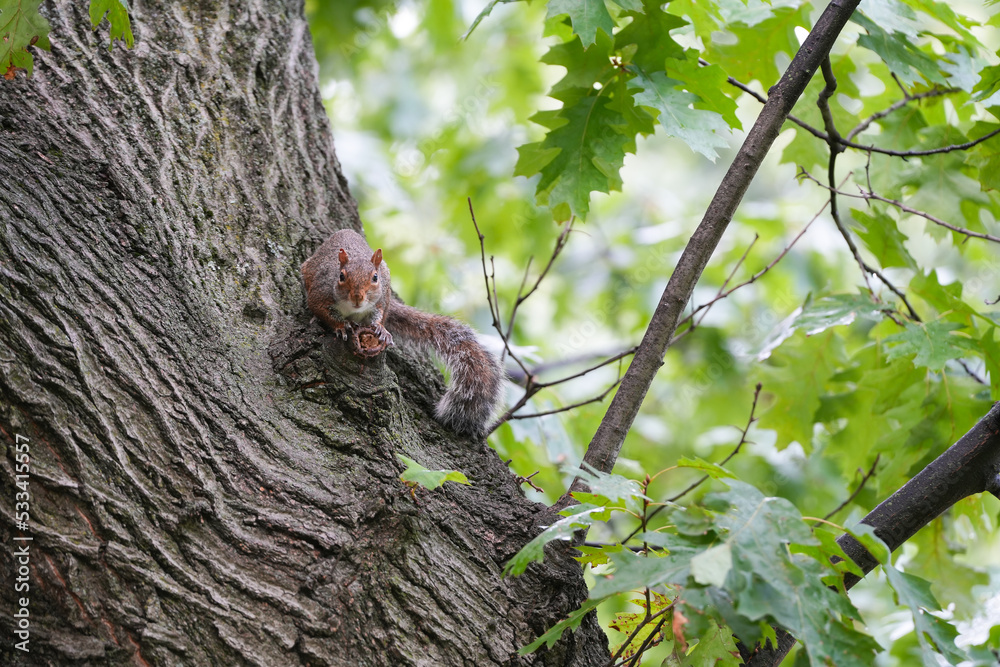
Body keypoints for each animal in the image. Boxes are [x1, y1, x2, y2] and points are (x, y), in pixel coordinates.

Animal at [301, 228, 504, 438]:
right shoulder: (320, 293)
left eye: (375, 278)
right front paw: (340, 326)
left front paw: (381, 330)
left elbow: (377, 316)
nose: (357, 297)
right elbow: (321, 310)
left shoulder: (380, 301)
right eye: (341, 276)